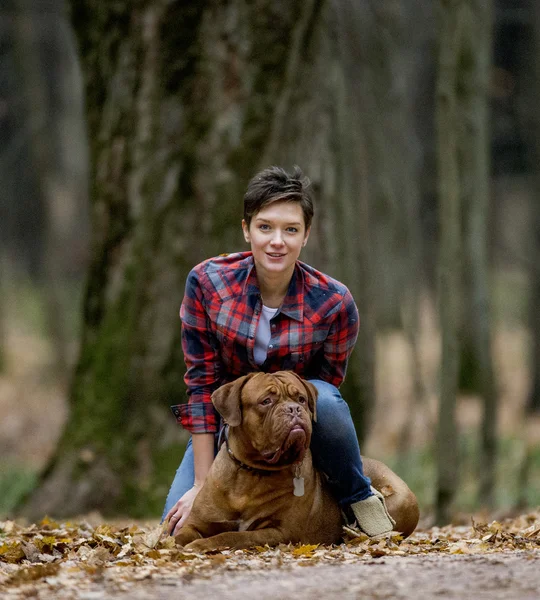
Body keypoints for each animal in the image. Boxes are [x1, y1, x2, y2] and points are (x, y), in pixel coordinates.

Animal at [175, 370, 420, 552]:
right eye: (266, 401)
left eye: (301, 399)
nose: (294, 409)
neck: (251, 471)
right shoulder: (196, 523)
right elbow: (179, 535)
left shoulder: (279, 532)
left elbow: (231, 536)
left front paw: (201, 544)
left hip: (400, 501)